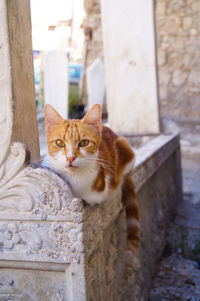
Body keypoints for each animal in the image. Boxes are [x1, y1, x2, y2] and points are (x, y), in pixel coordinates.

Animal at [44, 103, 140, 251]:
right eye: (60, 143)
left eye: (84, 143)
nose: (70, 158)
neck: (74, 178)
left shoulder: (99, 190)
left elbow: (90, 197)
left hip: (125, 147)